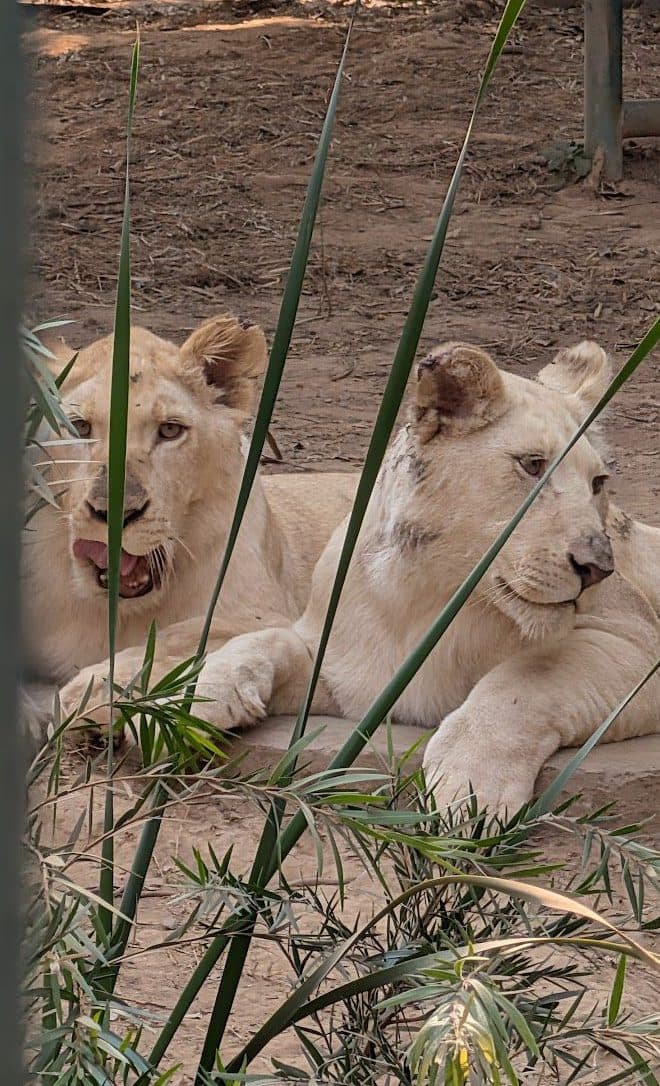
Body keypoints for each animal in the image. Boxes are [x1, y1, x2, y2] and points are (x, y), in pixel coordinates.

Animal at [23, 313, 355, 707]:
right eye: (80, 427)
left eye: (170, 430)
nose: (113, 512)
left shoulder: (273, 619)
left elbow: (176, 641)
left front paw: (90, 691)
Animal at [67, 338, 659, 815]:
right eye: (533, 466)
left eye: (598, 483)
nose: (597, 567)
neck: (425, 592)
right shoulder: (345, 670)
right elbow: (269, 640)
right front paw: (199, 698)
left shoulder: (636, 644)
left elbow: (525, 679)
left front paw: (470, 789)